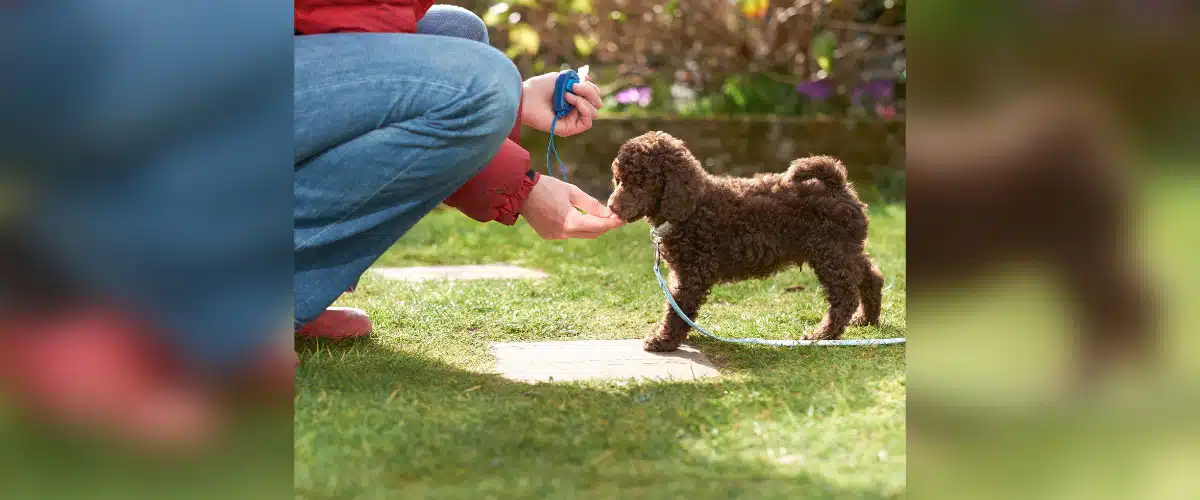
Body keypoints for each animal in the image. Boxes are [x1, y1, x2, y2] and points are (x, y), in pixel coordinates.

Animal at [609, 130, 883, 352]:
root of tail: (837, 185)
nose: (611, 206)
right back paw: (866, 318)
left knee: (845, 296)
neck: (693, 207)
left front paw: (662, 340)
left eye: (640, 182)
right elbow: (676, 306)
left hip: (831, 253)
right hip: (845, 250)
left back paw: (823, 335)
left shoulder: (693, 272)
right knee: (871, 276)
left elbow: (677, 308)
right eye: (619, 180)